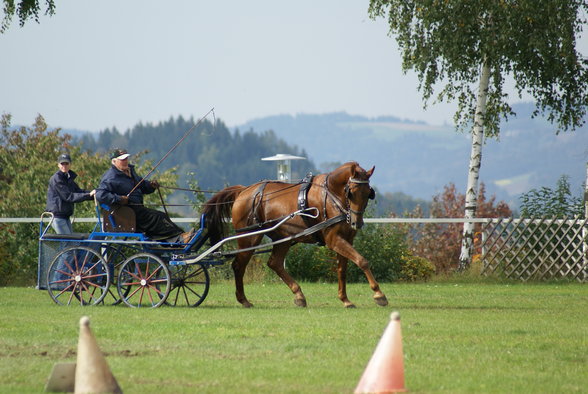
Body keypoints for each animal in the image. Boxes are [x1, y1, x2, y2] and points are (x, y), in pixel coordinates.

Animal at [201, 161, 386, 308]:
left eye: (368, 193)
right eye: (351, 192)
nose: (356, 223)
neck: (331, 195)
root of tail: (244, 191)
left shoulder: (346, 239)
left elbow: (343, 269)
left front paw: (345, 300)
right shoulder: (333, 239)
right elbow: (362, 261)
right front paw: (379, 294)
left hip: (281, 238)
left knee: (274, 263)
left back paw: (299, 295)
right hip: (249, 237)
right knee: (239, 265)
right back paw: (244, 300)